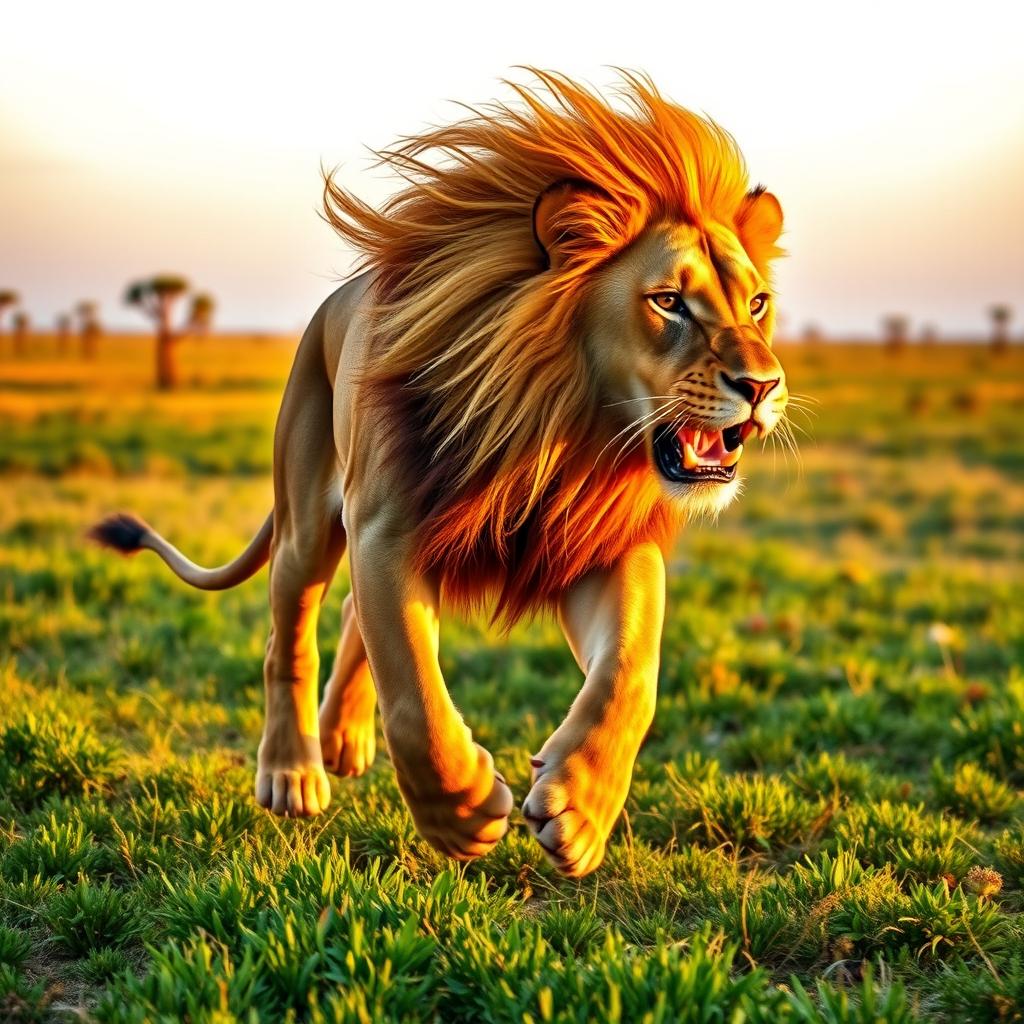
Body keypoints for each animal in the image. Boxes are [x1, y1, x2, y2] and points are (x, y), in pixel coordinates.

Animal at [90, 70, 789, 877]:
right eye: (669, 302)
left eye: (757, 303)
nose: (764, 385)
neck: (563, 436)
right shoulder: (386, 530)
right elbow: (413, 694)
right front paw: (462, 815)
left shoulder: (599, 547)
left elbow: (631, 672)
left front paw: (580, 810)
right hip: (308, 525)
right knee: (288, 637)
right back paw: (293, 773)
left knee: (353, 616)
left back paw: (343, 738)